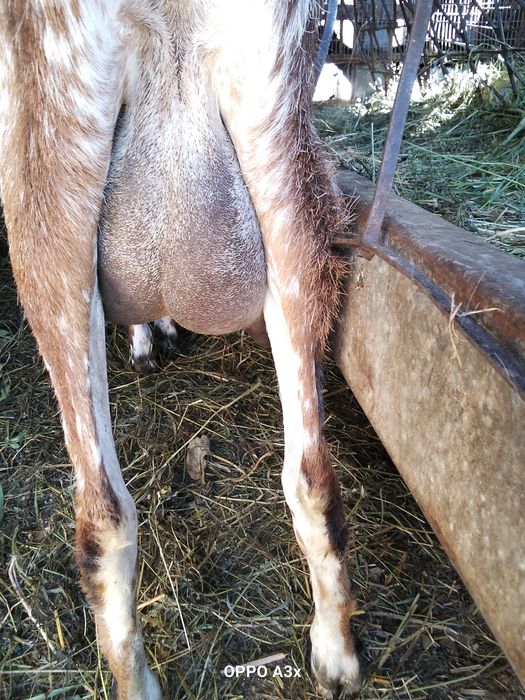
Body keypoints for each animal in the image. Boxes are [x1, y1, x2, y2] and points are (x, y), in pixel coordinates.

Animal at [0, 1, 361, 697]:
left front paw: (149, 338)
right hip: (278, 139)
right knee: (308, 474)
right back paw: (336, 656)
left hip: (44, 148)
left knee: (99, 513)